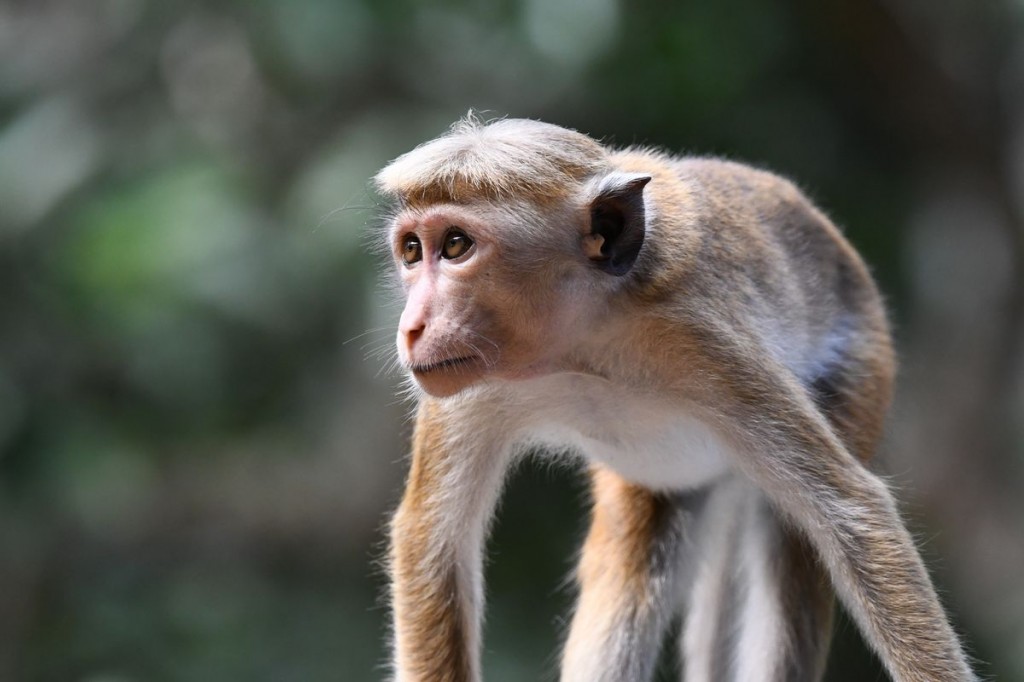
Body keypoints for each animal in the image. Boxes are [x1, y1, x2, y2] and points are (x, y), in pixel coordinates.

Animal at [373, 115, 977, 682]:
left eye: (456, 246)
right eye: (412, 251)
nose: (411, 327)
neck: (579, 345)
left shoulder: (701, 343)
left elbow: (854, 516)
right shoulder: (465, 387)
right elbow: (433, 541)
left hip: (858, 366)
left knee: (792, 554)